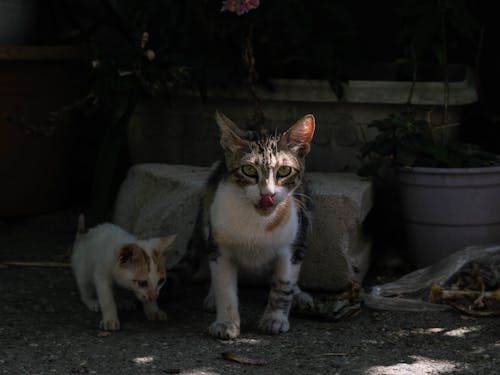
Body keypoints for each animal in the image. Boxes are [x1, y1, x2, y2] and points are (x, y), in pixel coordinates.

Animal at [182, 111, 314, 340]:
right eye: (249, 170)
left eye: (284, 171)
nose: (267, 195)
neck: (258, 222)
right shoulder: (220, 245)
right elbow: (225, 287)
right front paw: (226, 322)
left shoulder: (294, 243)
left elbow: (284, 283)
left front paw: (275, 318)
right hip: (207, 213)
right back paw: (211, 296)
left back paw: (299, 296)